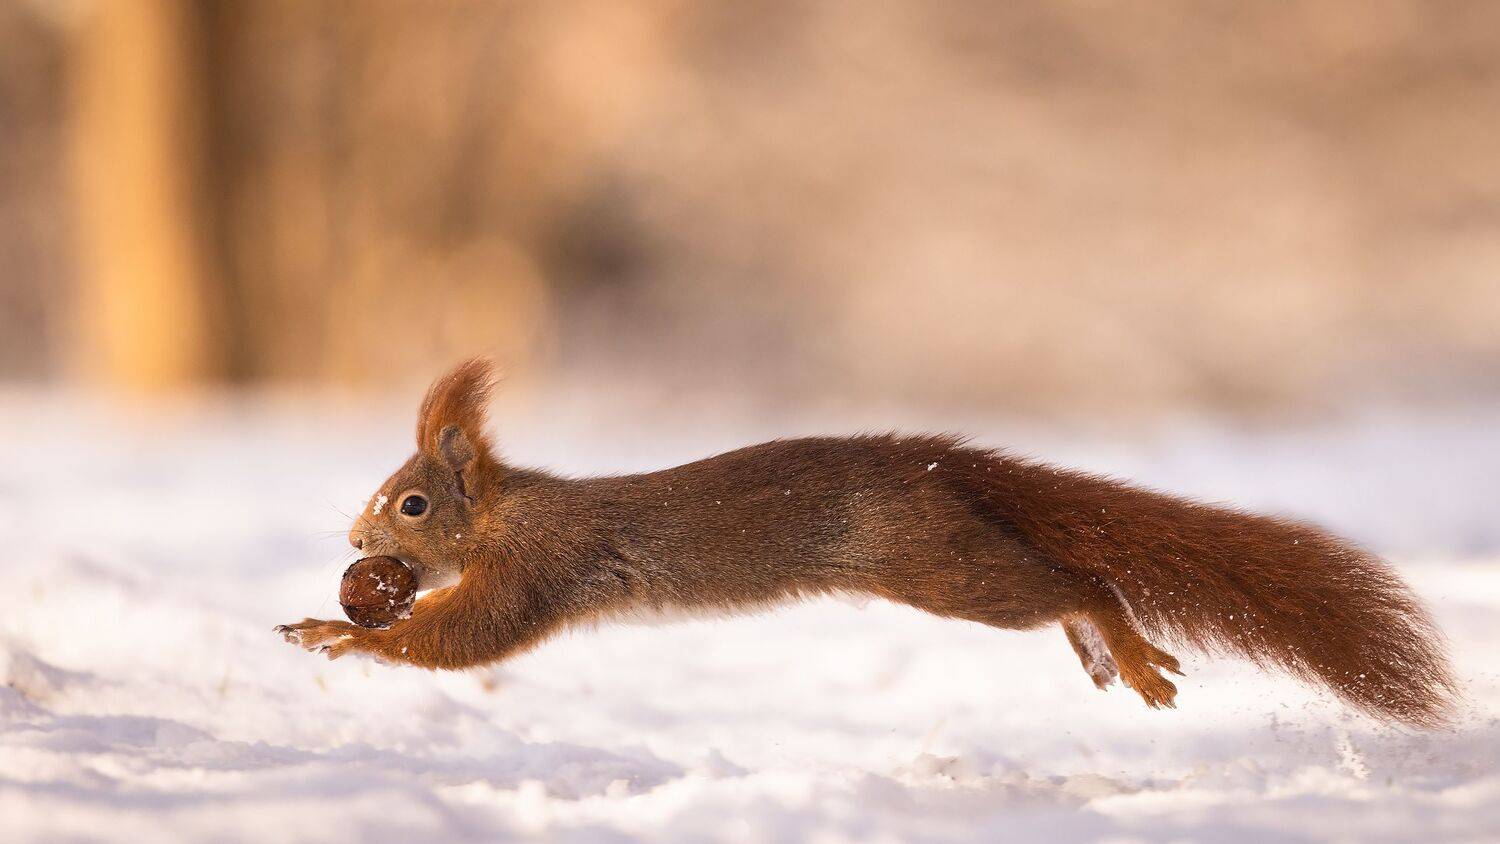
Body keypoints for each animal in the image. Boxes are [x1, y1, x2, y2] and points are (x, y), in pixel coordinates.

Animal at [278, 358, 1458, 727]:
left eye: (411, 505)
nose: (356, 538)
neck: (505, 509)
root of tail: (929, 468)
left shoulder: (536, 567)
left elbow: (467, 635)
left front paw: (343, 637)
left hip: (934, 564)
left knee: (1073, 579)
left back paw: (1117, 642)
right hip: (942, 556)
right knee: (1063, 583)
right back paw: (1104, 650)